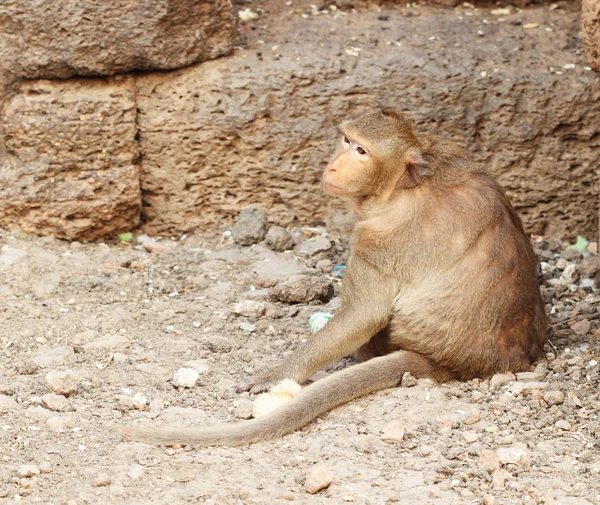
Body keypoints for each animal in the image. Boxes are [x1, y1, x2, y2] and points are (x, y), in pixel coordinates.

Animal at [116, 109, 544, 444]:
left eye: (362, 151)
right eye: (346, 140)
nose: (334, 164)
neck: (401, 188)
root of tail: (464, 364)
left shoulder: (377, 243)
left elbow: (364, 316)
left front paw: (280, 374)